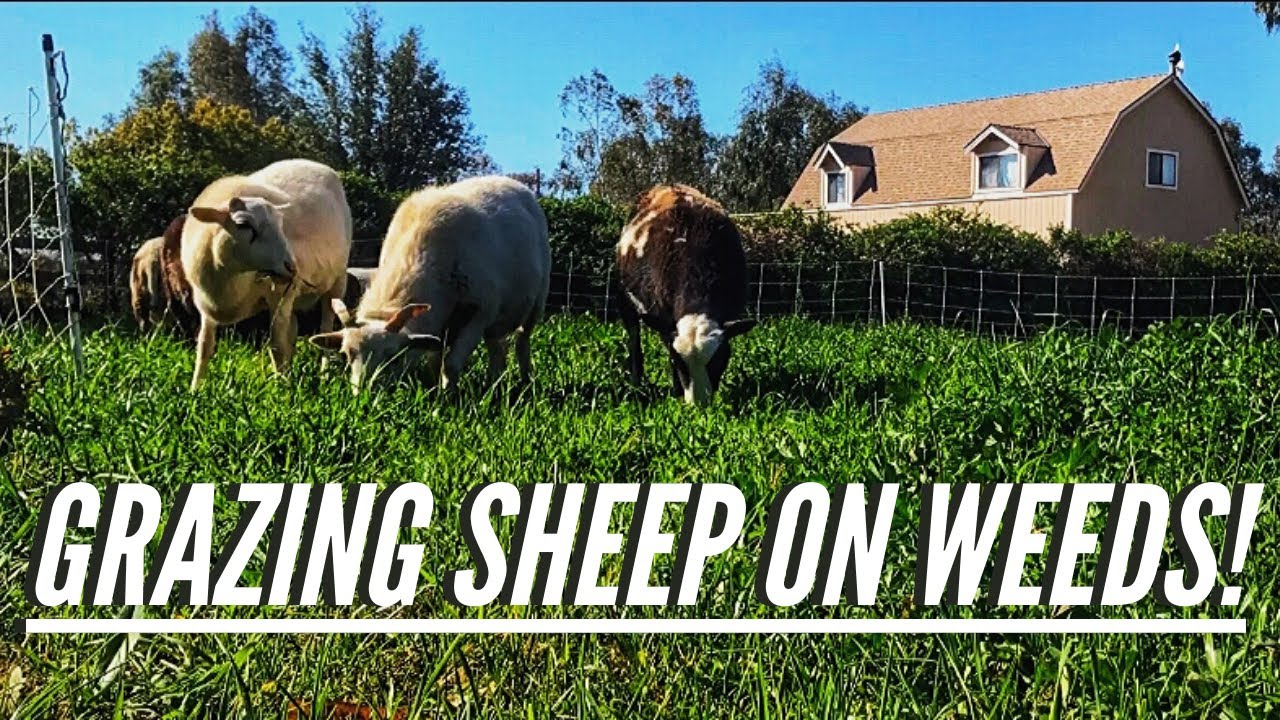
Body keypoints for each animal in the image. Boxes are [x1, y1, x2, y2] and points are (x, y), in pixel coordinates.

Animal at [182, 158, 352, 390]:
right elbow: (204, 347)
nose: (292, 266)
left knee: (325, 326)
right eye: (243, 224)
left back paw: (323, 374)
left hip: (335, 283)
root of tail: (314, 163)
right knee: (293, 330)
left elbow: (276, 347)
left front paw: (282, 390)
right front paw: (195, 389)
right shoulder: (205, 305)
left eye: (281, 225)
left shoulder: (278, 295)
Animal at [307, 175, 550, 395]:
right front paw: (435, 394)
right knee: (497, 350)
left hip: (536, 302)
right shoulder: (439, 326)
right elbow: (435, 365)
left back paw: (525, 382)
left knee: (522, 343)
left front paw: (447, 402)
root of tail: (507, 180)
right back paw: (495, 387)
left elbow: (450, 366)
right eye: (346, 355)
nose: (364, 396)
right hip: (495, 322)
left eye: (393, 357)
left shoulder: (478, 314)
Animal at [615, 184, 756, 405]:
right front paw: (676, 392)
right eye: (677, 361)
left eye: (719, 359)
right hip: (624, 299)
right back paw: (636, 383)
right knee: (633, 340)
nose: (700, 405)